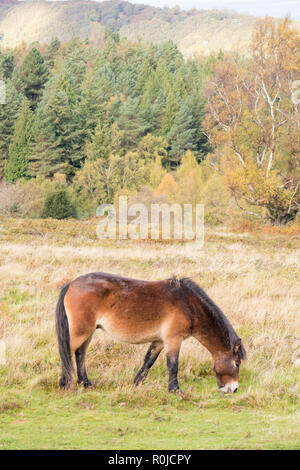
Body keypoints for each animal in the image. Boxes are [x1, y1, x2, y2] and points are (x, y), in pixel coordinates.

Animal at [55, 272, 246, 392]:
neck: (189, 304)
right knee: (67, 352)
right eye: (237, 363)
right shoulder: (173, 339)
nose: (234, 389)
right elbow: (173, 364)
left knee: (80, 354)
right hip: (81, 331)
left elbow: (149, 361)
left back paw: (85, 383)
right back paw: (65, 383)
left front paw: (137, 383)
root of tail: (71, 284)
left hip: (88, 332)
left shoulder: (159, 341)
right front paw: (175, 390)